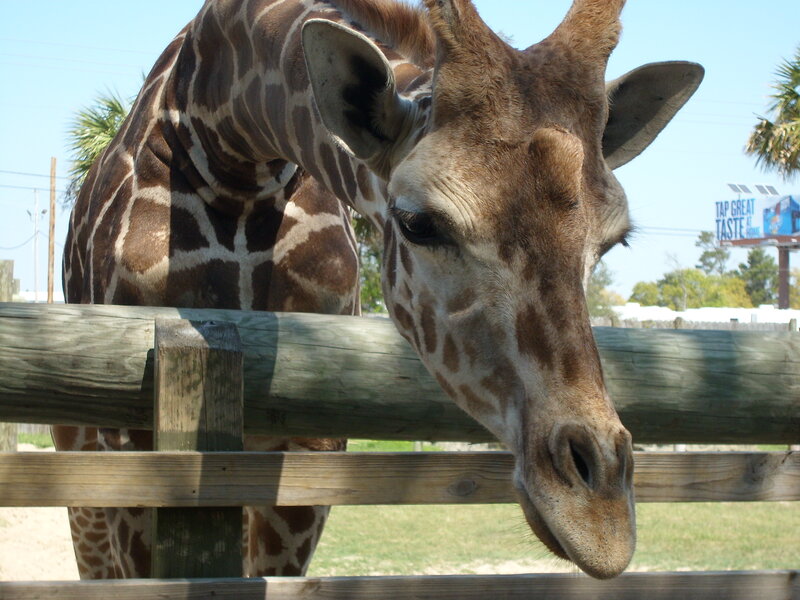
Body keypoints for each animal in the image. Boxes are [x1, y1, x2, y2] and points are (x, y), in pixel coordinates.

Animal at [57, 0, 703, 580]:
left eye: (612, 240)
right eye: (418, 222)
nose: (601, 520)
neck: (232, 152)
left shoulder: (310, 440)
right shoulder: (136, 442)